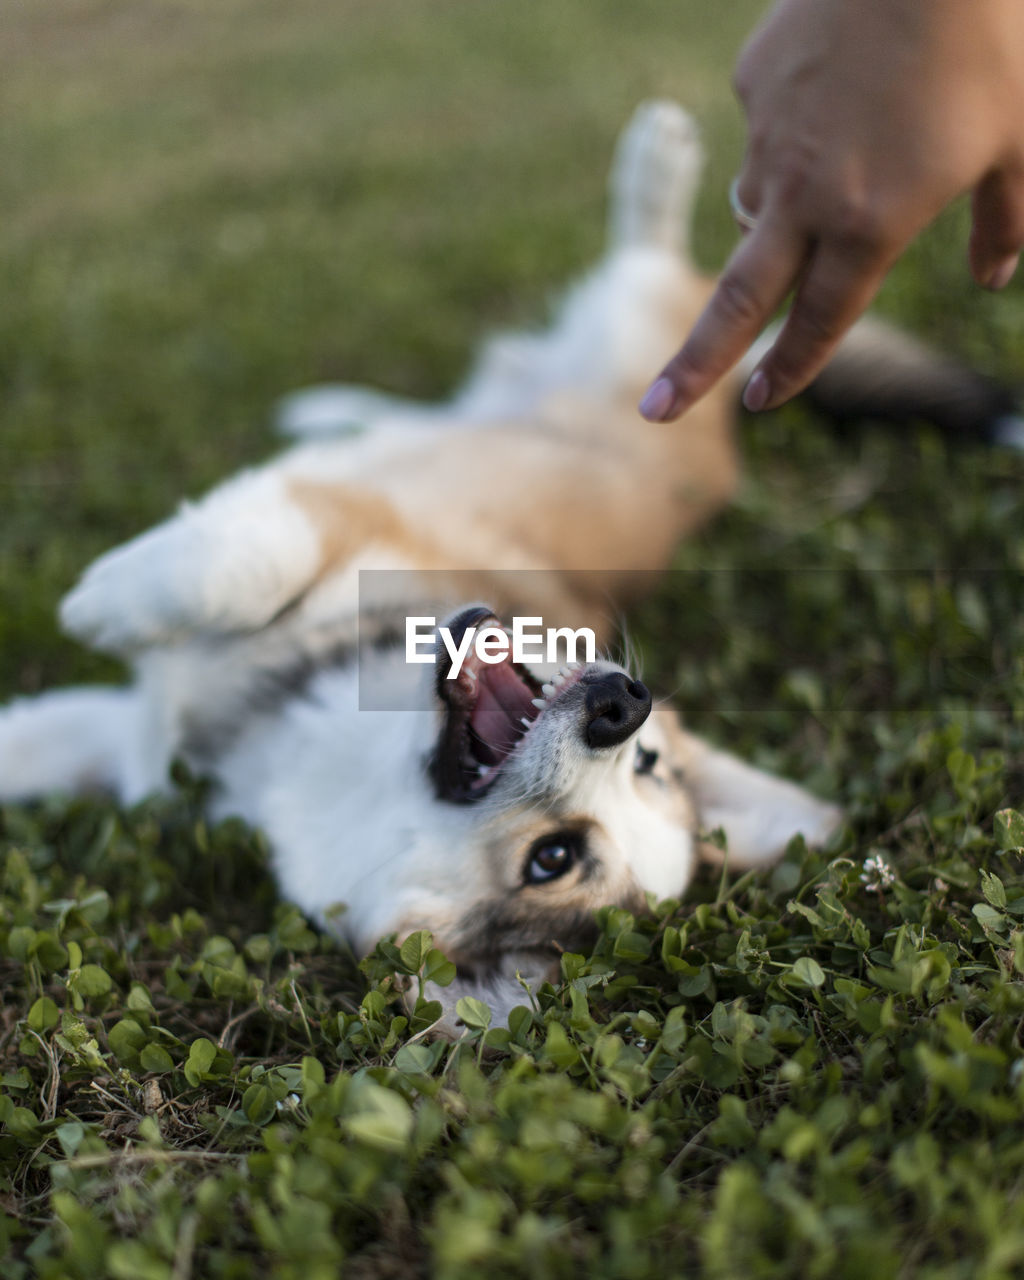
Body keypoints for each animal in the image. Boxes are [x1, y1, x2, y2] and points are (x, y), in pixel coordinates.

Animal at [0, 99, 1008, 1024]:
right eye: (650, 763)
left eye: (552, 859)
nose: (622, 705)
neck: (330, 757)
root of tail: (726, 414)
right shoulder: (331, 546)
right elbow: (233, 565)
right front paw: (113, 597)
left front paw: (96, 604)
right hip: (617, 367)